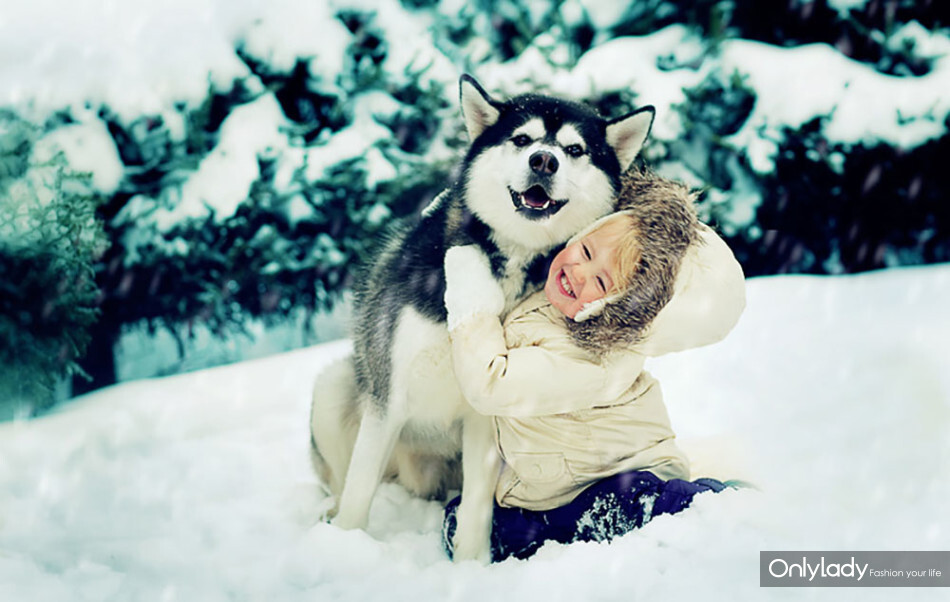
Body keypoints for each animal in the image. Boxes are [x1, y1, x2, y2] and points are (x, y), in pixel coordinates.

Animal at [312, 74, 656, 556]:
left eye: (574, 149)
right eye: (522, 139)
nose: (544, 160)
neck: (510, 255)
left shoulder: (487, 414)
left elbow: (476, 506)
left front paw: (470, 565)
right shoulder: (388, 396)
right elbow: (360, 490)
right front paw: (343, 548)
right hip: (337, 387)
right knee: (345, 481)